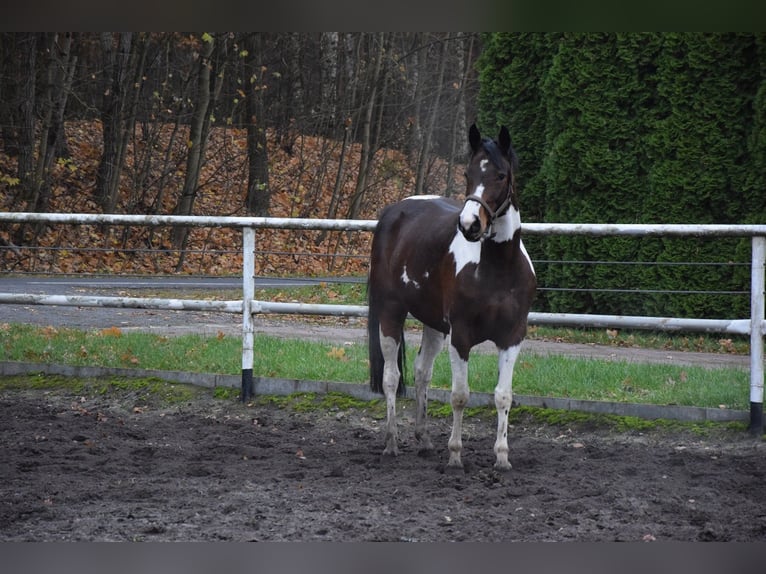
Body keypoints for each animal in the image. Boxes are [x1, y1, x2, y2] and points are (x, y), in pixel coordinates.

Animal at [368, 122, 536, 472]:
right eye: (468, 174)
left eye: (501, 175)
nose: (470, 224)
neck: (497, 269)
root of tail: (393, 211)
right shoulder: (461, 336)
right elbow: (459, 395)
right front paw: (456, 454)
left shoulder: (513, 337)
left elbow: (503, 395)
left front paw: (502, 457)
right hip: (391, 313)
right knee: (391, 377)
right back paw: (391, 442)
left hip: (433, 324)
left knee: (422, 374)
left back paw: (424, 440)